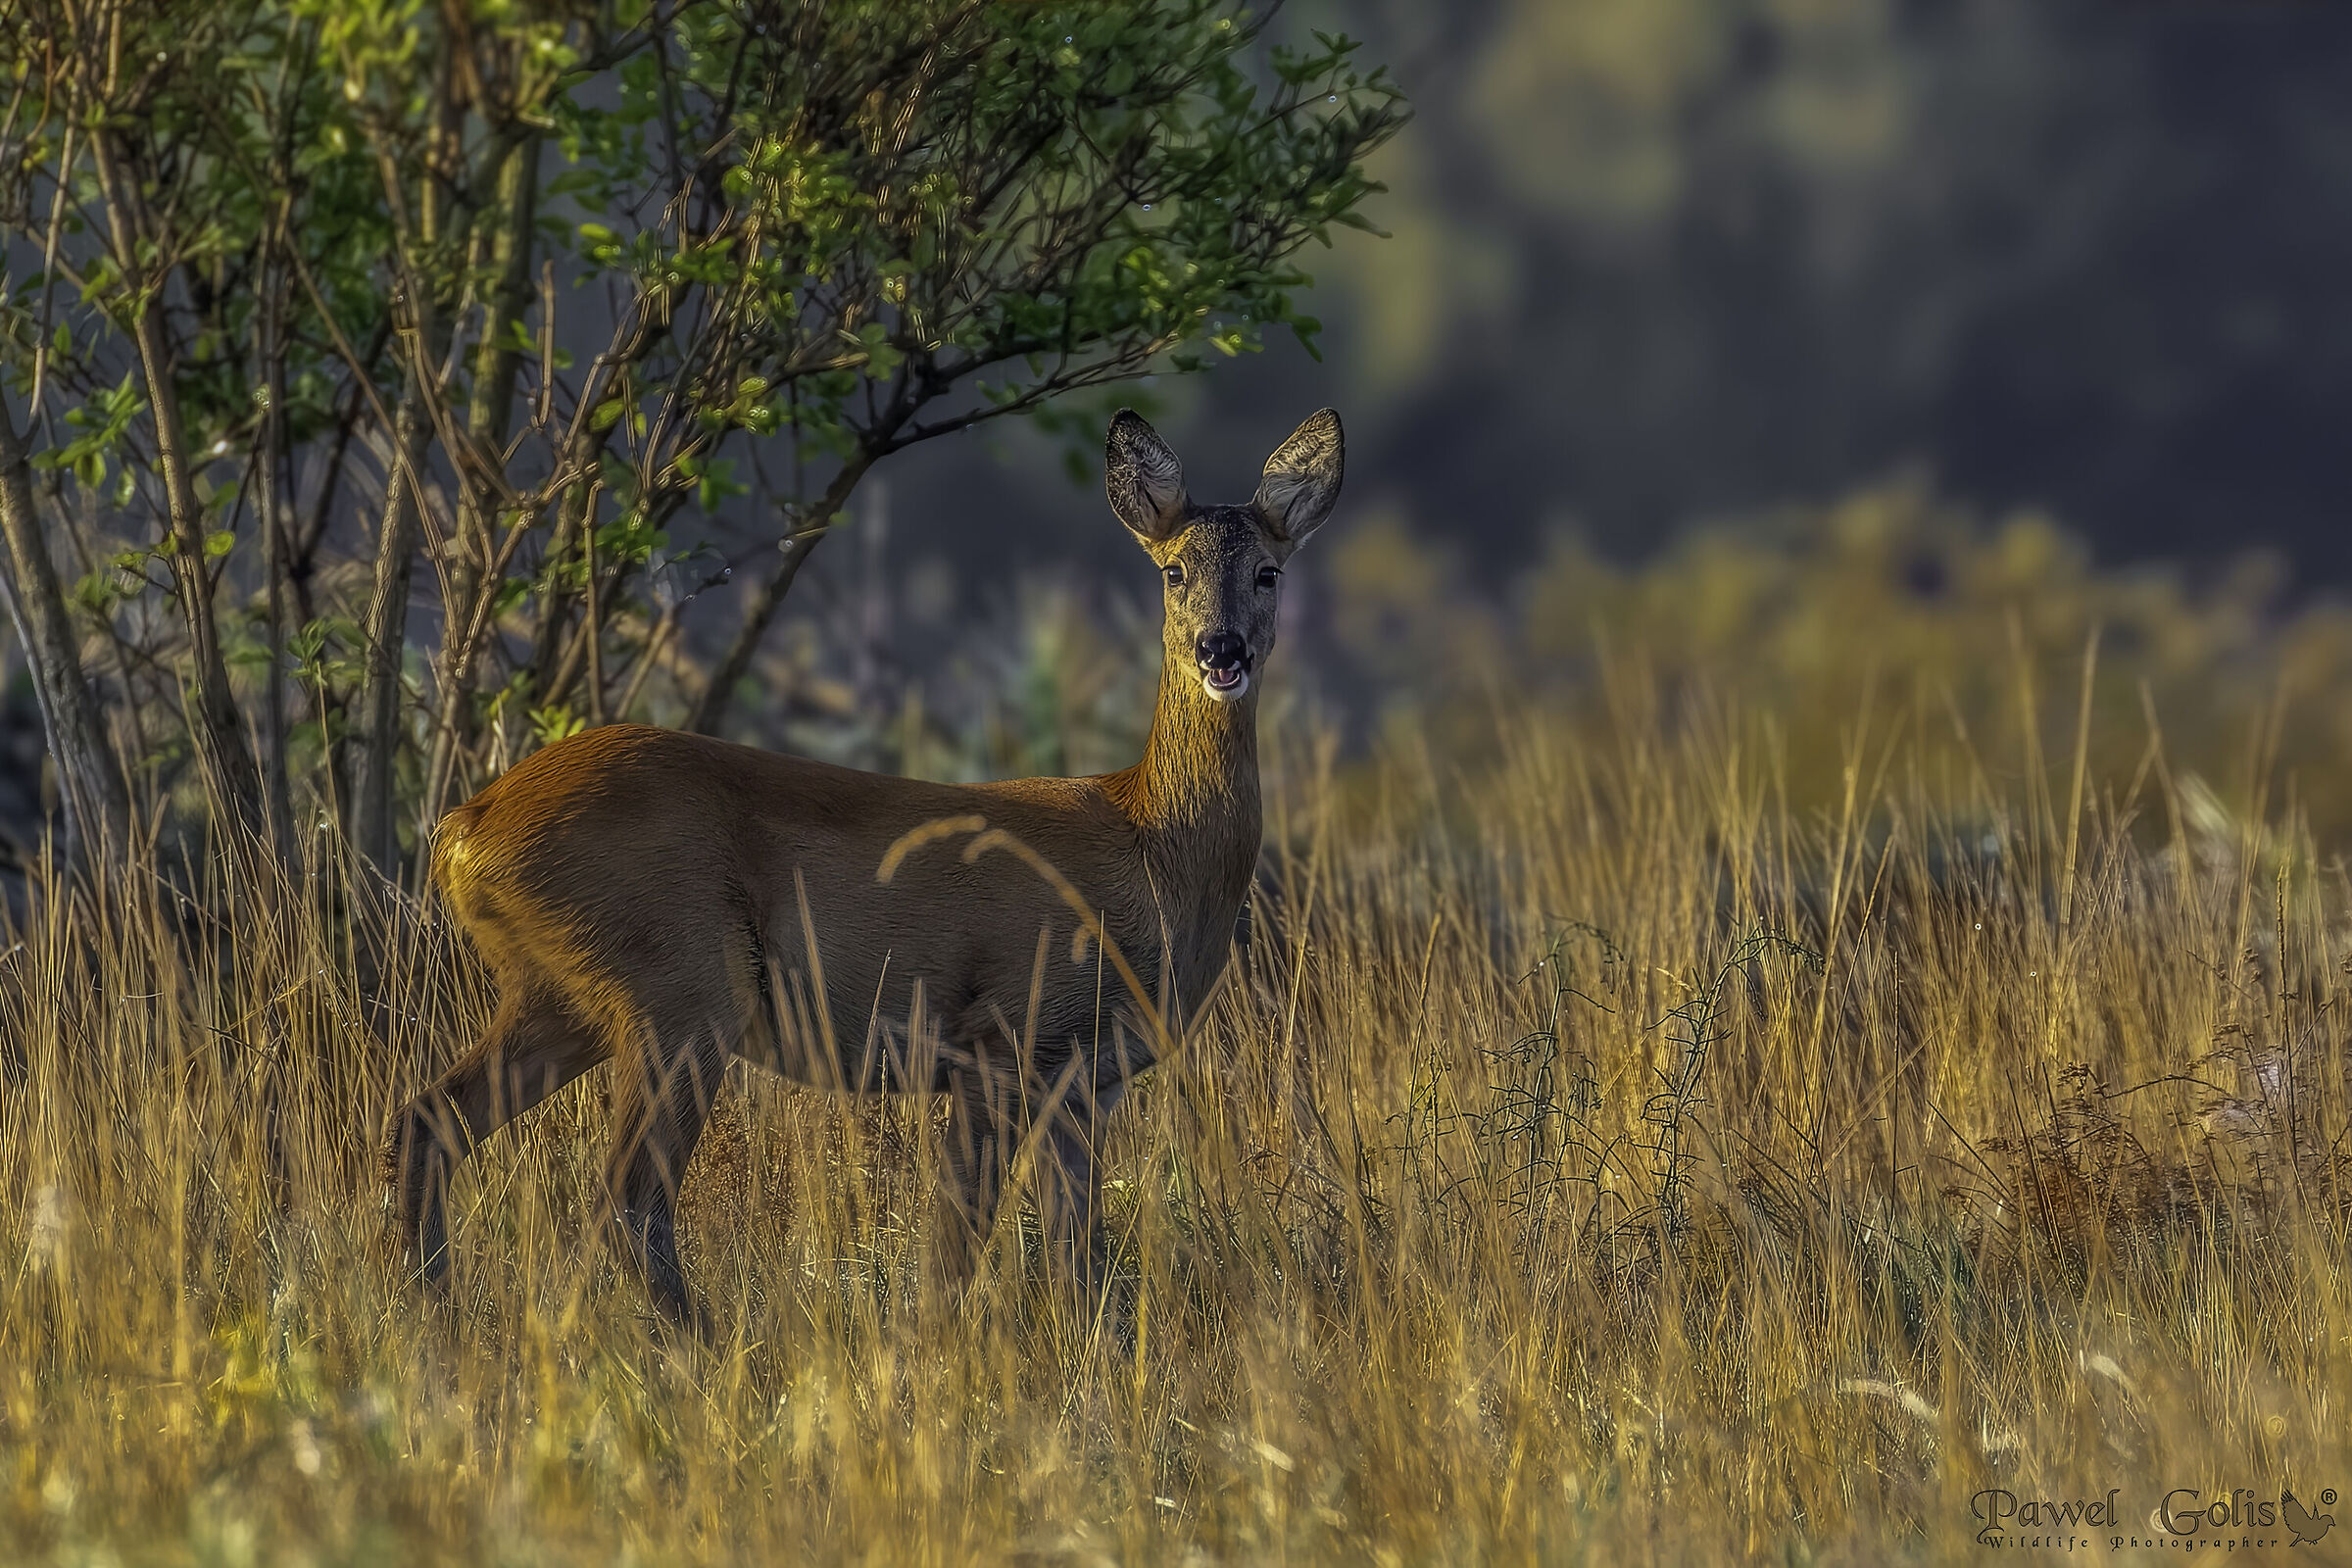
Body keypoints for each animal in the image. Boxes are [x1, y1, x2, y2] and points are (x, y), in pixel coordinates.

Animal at [385, 407, 1344, 1329]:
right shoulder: (1004, 1035)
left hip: (561, 992)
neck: (1150, 846)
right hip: (682, 982)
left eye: (1269, 572)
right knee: (628, 1195)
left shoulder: (1083, 1081)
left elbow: (1081, 1264)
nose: (1222, 650)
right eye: (1174, 572)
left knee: (432, 1118)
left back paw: (440, 1321)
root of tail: (464, 827)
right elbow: (958, 1241)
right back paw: (707, 1348)